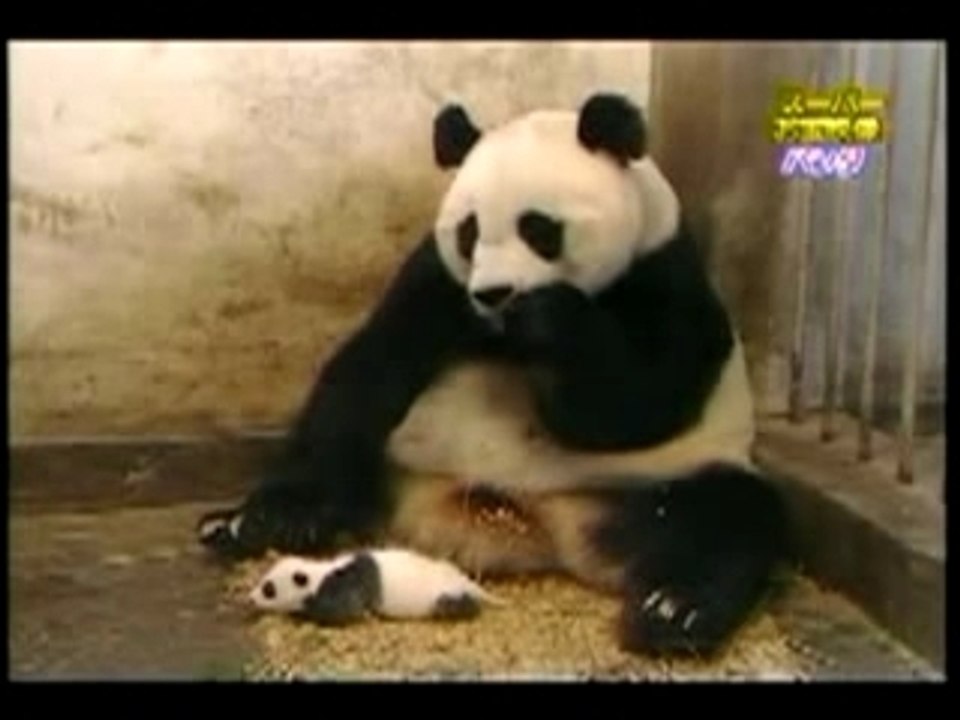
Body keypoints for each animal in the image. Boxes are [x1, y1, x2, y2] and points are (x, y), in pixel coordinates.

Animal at [198, 92, 785, 657]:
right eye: (469, 231)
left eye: (539, 228)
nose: (495, 293)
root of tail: (533, 527)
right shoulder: (439, 280)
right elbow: (371, 368)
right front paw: (279, 514)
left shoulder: (665, 274)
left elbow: (637, 402)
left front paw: (550, 321)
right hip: (401, 462)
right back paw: (245, 525)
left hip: (647, 484)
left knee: (729, 518)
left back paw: (673, 611)